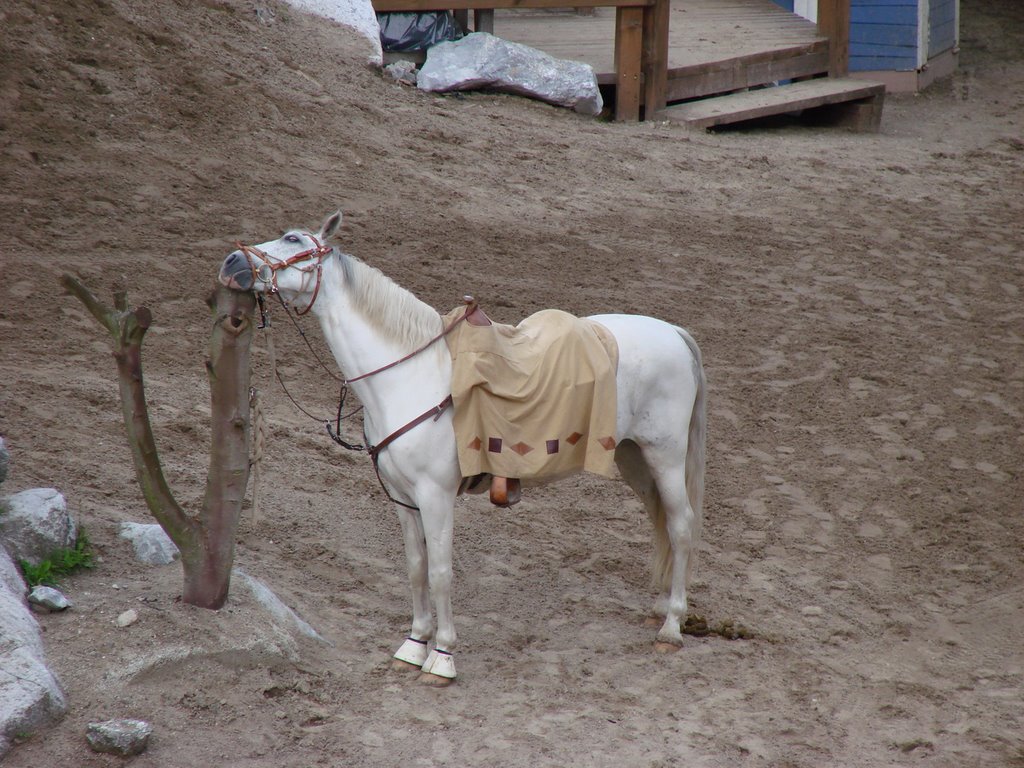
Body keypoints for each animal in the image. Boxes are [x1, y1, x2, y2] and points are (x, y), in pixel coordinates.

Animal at [220, 210, 708, 684]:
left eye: (294, 241)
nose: (232, 262)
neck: (408, 375)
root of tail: (673, 332)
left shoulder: (436, 496)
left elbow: (440, 573)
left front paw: (442, 658)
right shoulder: (402, 497)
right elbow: (416, 567)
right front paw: (413, 645)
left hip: (664, 456)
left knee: (681, 526)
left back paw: (672, 627)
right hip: (634, 457)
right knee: (661, 523)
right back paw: (660, 609)